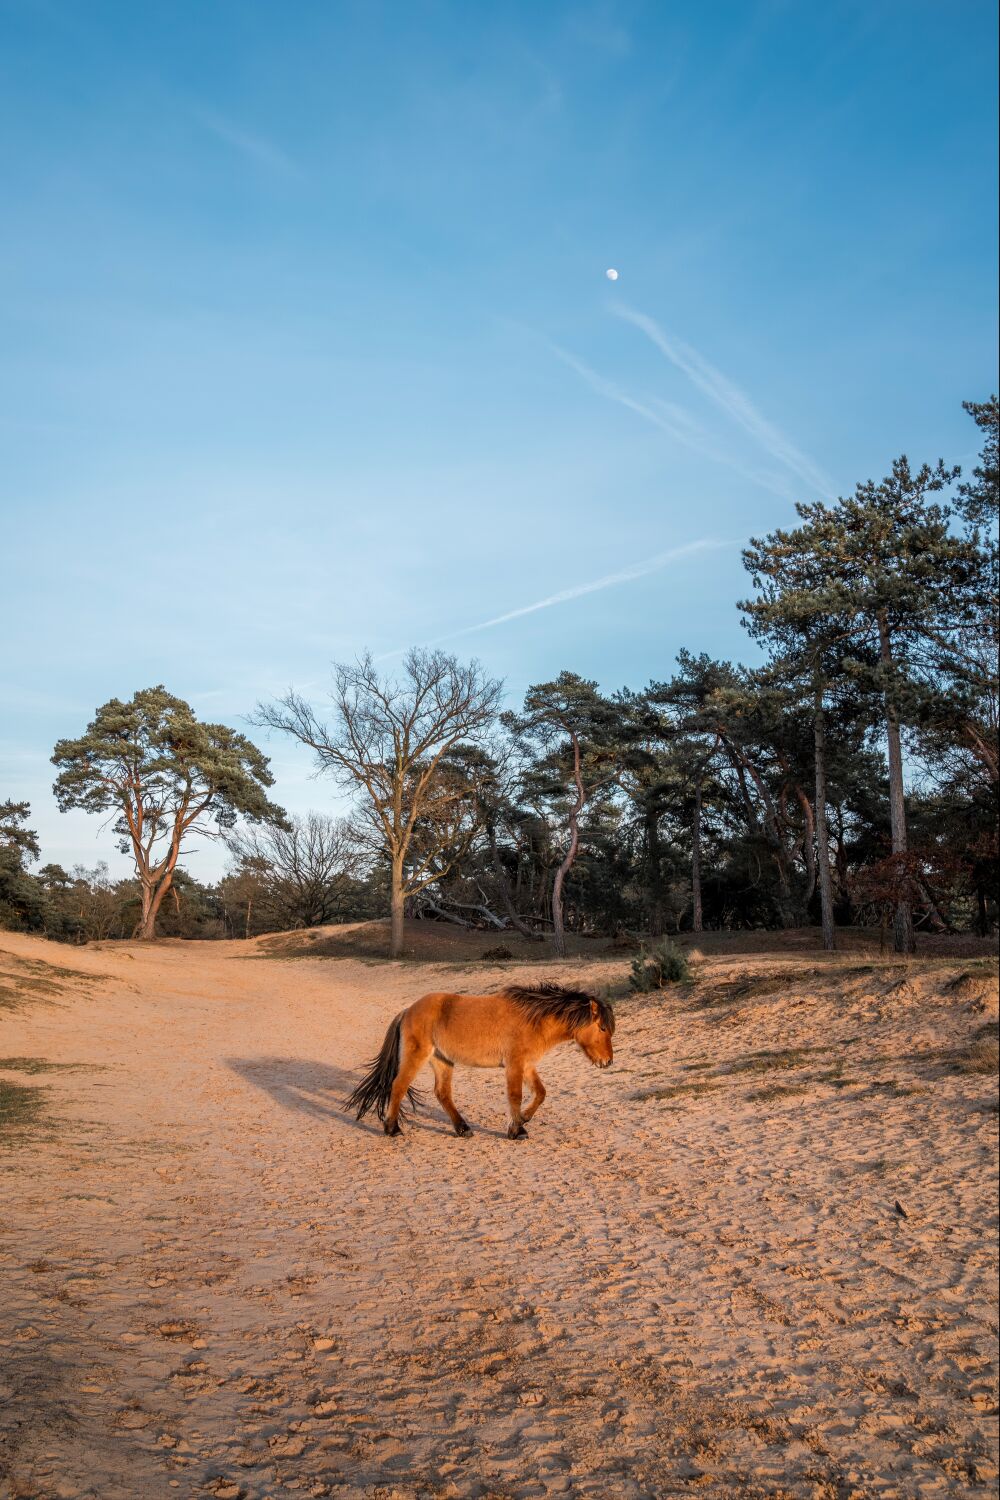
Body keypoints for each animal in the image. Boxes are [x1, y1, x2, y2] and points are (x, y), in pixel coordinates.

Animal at [352, 984, 617, 1134]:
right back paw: (392, 1129)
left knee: (442, 1094)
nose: (608, 1062)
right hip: (417, 1056)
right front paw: (517, 1130)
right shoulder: (514, 1065)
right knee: (398, 1086)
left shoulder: (527, 1065)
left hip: (442, 1060)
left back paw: (463, 1129)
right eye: (603, 1028)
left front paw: (524, 1119)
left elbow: (540, 1093)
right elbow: (515, 1096)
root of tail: (408, 1010)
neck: (533, 1019)